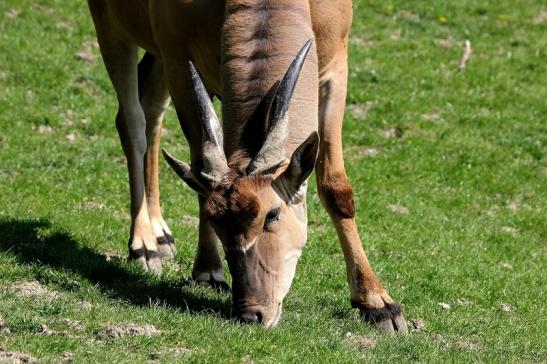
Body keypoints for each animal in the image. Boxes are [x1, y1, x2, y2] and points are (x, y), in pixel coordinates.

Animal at [88, 0, 406, 332]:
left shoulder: (334, 66)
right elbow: (199, 168)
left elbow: (335, 186)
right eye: (217, 221)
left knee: (151, 105)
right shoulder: (179, 62)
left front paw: (379, 304)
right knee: (131, 120)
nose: (251, 314)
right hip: (110, 28)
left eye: (272, 214)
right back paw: (145, 244)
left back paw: (161, 234)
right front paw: (207, 270)